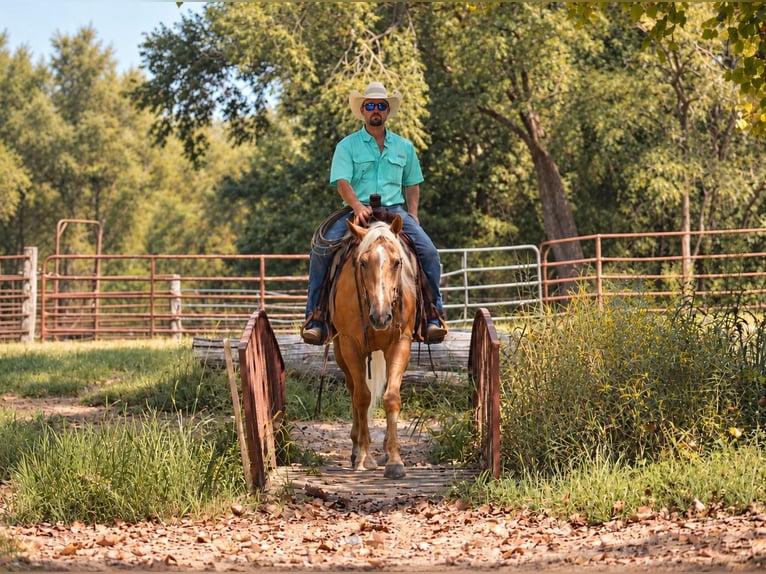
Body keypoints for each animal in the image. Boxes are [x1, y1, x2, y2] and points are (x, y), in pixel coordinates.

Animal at [329, 214, 417, 479]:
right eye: (363, 263)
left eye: (397, 262)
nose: (381, 317)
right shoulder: (349, 344)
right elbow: (362, 397)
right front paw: (364, 457)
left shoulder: (401, 343)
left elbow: (391, 398)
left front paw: (395, 460)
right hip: (340, 351)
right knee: (352, 390)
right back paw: (356, 449)